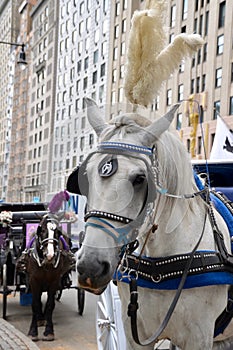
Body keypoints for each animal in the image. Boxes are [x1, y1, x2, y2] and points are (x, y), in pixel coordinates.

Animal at [17, 213, 75, 342]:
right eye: (42, 230)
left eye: (58, 232)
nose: (50, 255)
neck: (45, 263)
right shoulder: (34, 281)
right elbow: (35, 304)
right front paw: (33, 332)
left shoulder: (54, 281)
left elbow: (50, 305)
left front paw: (49, 331)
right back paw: (40, 319)